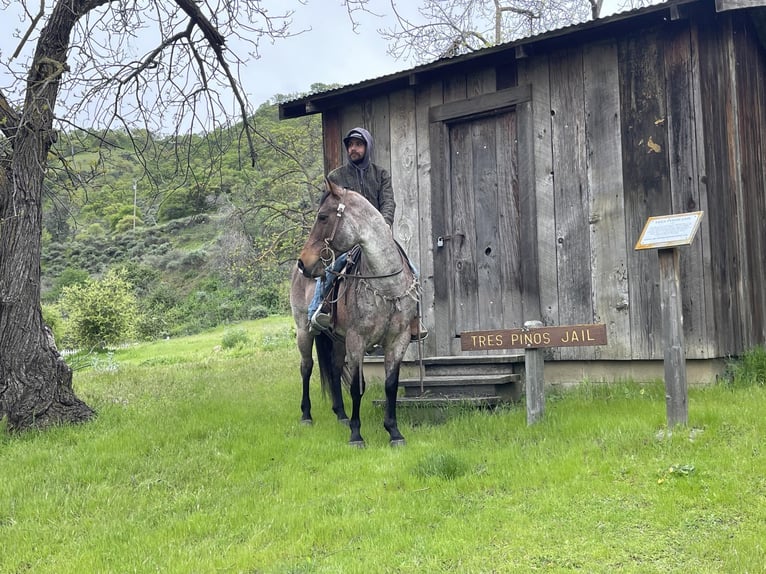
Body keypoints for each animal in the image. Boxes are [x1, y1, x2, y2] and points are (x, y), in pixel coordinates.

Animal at [296, 180, 424, 450]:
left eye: (323, 216)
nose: (303, 262)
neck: (387, 286)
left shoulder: (398, 340)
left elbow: (390, 385)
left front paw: (394, 432)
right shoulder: (357, 340)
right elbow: (356, 387)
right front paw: (356, 435)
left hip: (337, 340)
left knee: (334, 369)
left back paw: (341, 415)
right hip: (304, 331)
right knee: (306, 367)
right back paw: (306, 415)